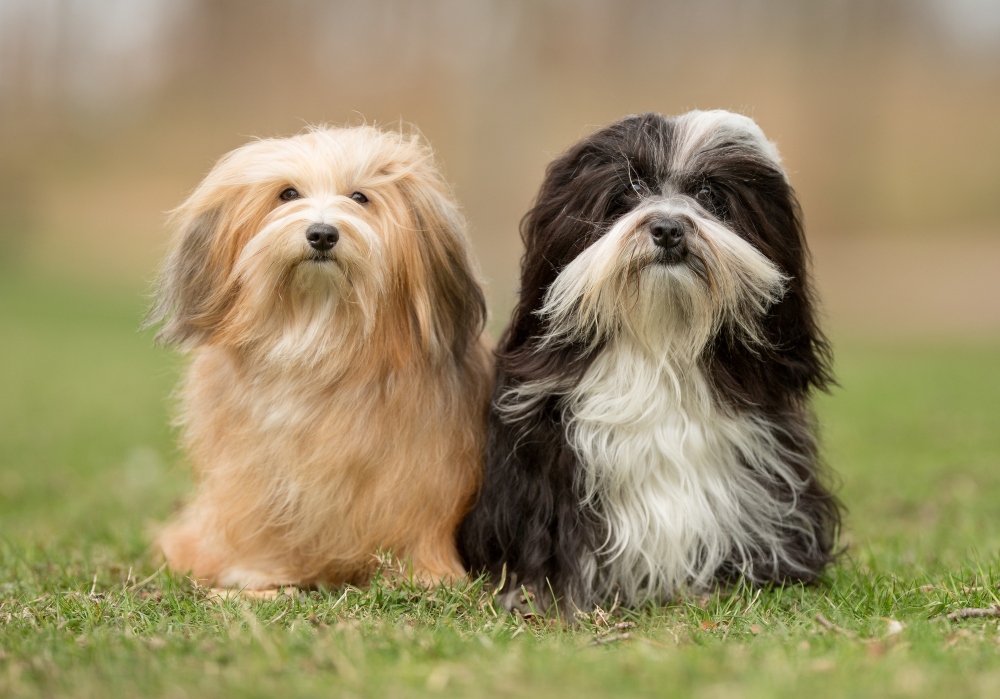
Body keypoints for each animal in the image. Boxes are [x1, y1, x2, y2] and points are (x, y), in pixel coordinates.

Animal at [146, 126, 492, 592]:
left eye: (360, 197)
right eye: (288, 194)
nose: (323, 234)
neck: (320, 330)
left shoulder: (426, 466)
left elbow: (419, 517)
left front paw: (425, 574)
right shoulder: (253, 469)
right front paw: (262, 571)